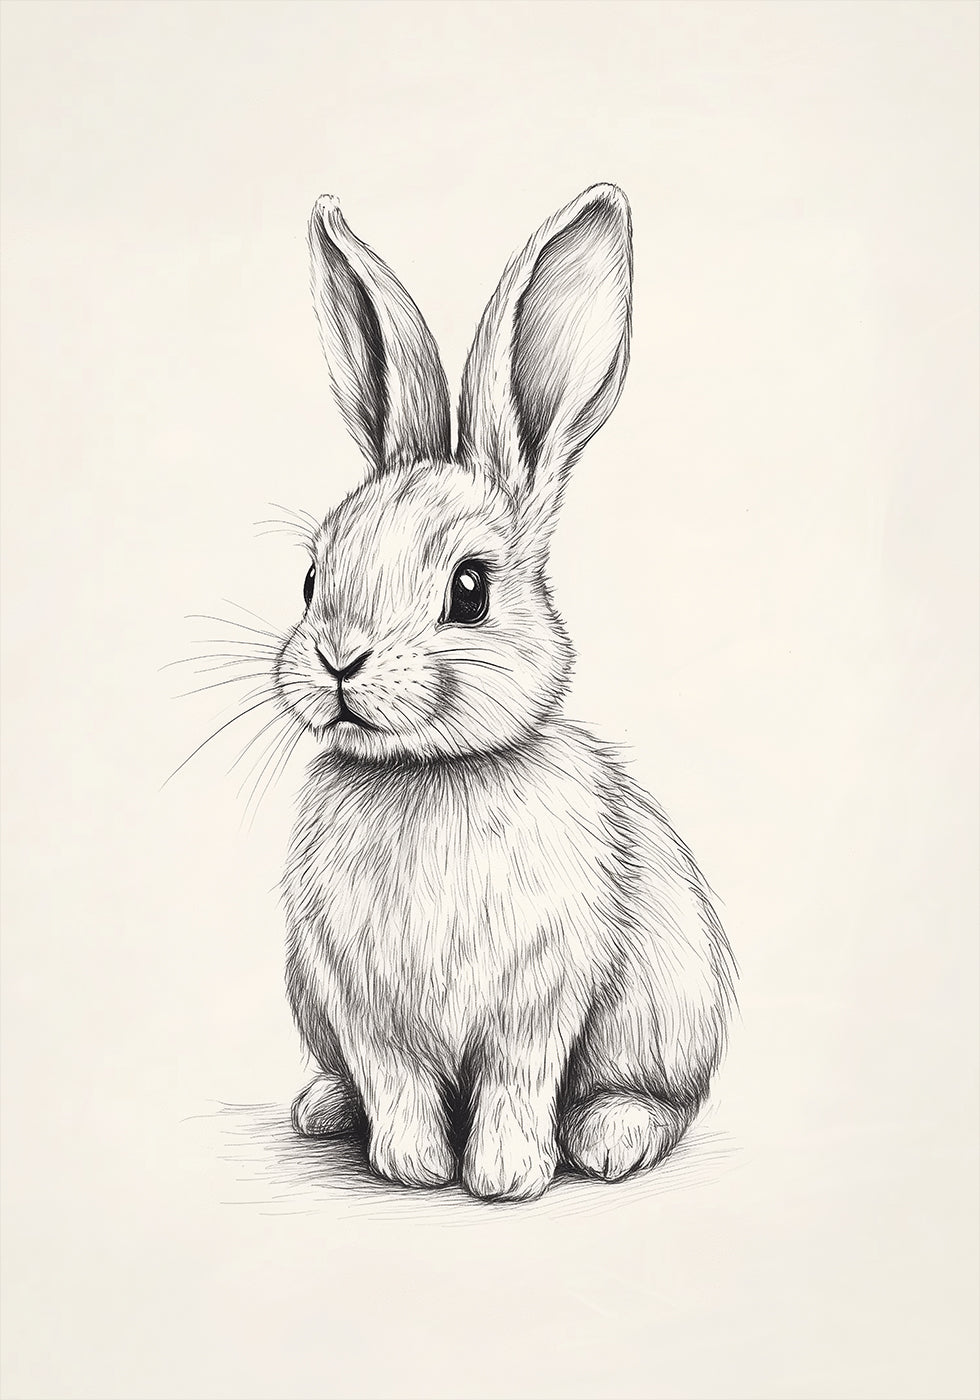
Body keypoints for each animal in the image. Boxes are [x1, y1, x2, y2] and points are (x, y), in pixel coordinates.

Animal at [275, 184, 737, 1202]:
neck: (429, 772)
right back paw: (324, 1108)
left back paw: (608, 1138)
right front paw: (412, 1166)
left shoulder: (540, 1003)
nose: (338, 660)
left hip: (667, 1017)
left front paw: (503, 1178)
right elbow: (397, 1079)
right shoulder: (363, 1008)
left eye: (471, 589)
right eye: (311, 578)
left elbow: (517, 1081)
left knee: (660, 1100)